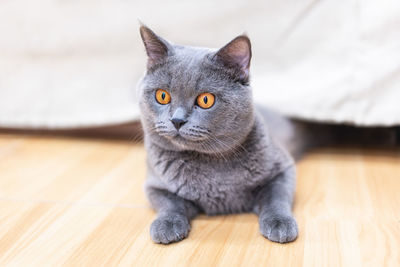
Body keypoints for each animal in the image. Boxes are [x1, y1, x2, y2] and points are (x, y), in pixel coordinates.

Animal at [138, 26, 300, 246]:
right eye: (162, 96)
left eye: (206, 100)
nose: (177, 120)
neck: (211, 164)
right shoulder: (155, 184)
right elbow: (169, 203)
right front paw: (167, 225)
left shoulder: (283, 168)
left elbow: (277, 196)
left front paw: (280, 223)